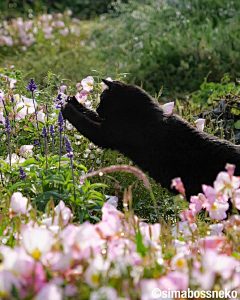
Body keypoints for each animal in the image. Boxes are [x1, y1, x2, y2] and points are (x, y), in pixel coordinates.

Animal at [61, 79, 240, 202]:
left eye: (102, 98)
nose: (98, 107)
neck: (143, 114)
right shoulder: (107, 123)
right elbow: (88, 114)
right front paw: (73, 101)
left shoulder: (107, 133)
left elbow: (85, 122)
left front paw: (68, 109)